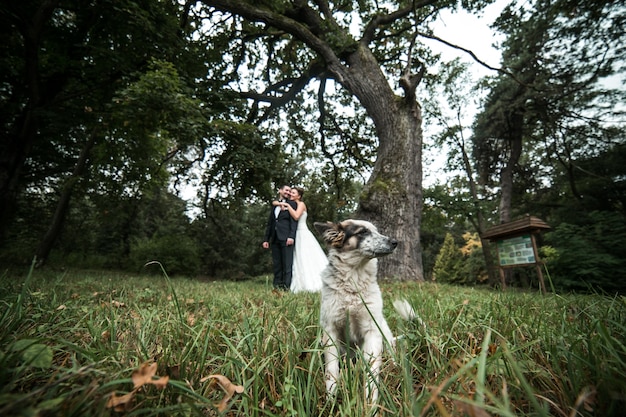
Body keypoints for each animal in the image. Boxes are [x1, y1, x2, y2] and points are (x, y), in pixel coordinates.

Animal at [312, 219, 414, 404]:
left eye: (377, 231)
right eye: (362, 232)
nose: (395, 242)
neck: (354, 277)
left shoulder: (372, 330)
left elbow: (372, 372)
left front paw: (370, 401)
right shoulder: (330, 331)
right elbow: (331, 370)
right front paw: (331, 398)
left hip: (385, 336)